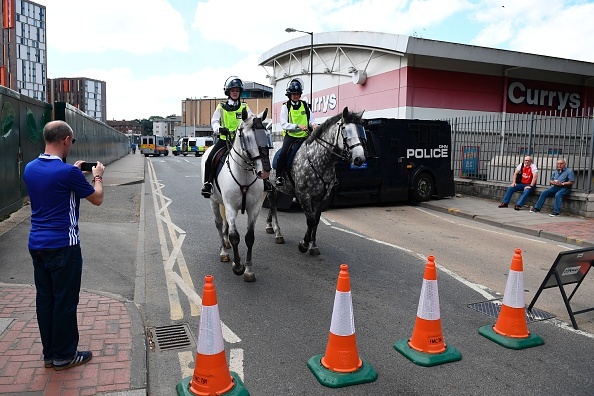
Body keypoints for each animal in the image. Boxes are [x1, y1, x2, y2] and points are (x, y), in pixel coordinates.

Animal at [201, 108, 270, 282]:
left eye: (266, 135)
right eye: (246, 137)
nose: (265, 171)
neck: (244, 174)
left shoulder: (254, 208)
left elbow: (249, 237)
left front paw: (249, 270)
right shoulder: (231, 206)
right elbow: (234, 236)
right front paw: (238, 266)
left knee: (225, 224)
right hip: (213, 201)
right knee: (219, 224)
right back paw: (224, 252)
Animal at [264, 106, 366, 255]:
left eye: (361, 130)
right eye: (345, 129)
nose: (359, 159)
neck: (317, 160)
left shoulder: (322, 196)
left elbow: (316, 220)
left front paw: (313, 245)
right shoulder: (303, 195)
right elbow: (311, 220)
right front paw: (304, 244)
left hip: (279, 188)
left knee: (274, 205)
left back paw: (269, 226)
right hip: (270, 186)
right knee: (272, 205)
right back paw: (278, 234)